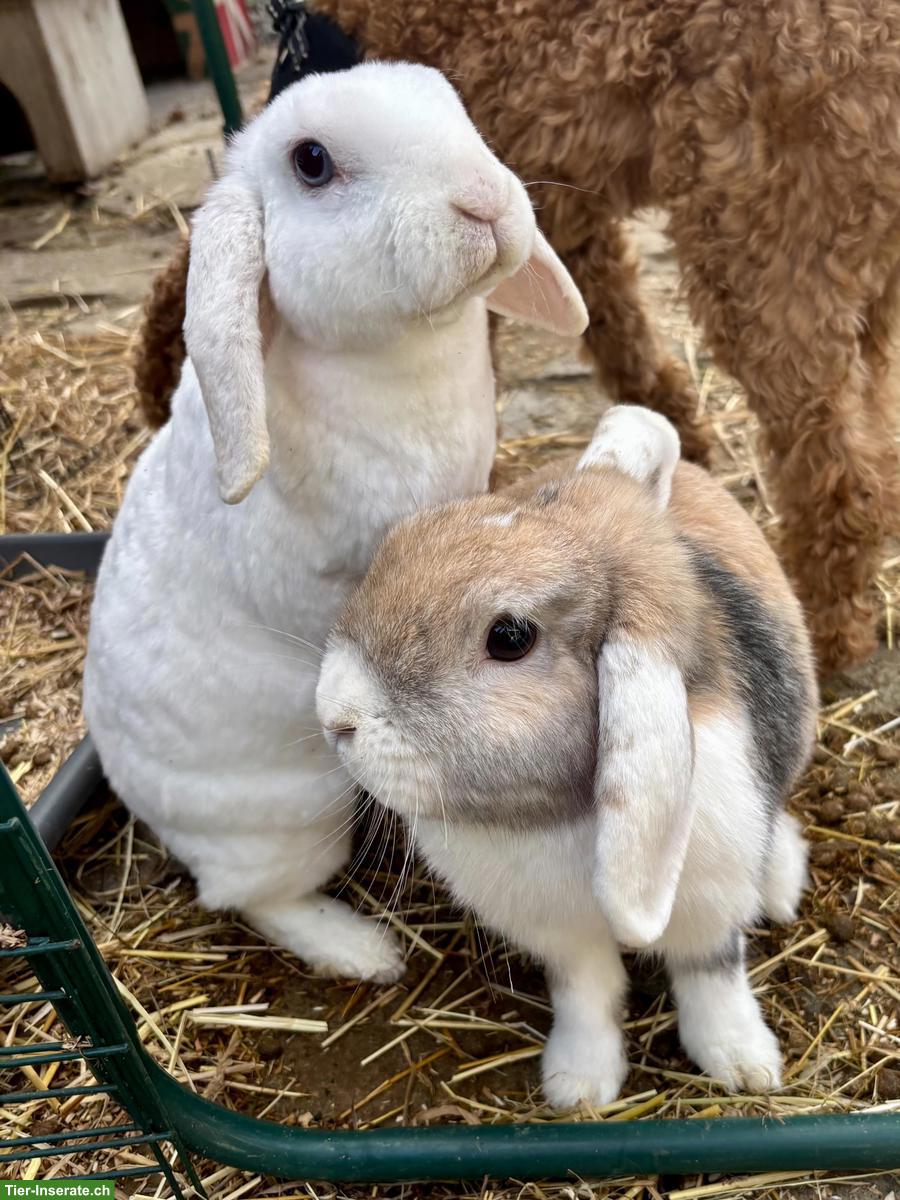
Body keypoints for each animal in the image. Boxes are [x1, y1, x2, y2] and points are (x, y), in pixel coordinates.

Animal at [83, 61, 587, 985]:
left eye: (449, 100)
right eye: (311, 163)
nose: (485, 202)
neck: (402, 358)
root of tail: (151, 815)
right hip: (293, 825)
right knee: (253, 901)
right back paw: (365, 952)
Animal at [316, 404, 818, 1105]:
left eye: (509, 637)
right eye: (404, 540)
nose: (333, 714)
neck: (564, 820)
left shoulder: (708, 911)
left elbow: (712, 977)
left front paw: (743, 1065)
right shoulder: (560, 939)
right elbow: (588, 995)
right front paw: (578, 1086)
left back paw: (781, 886)